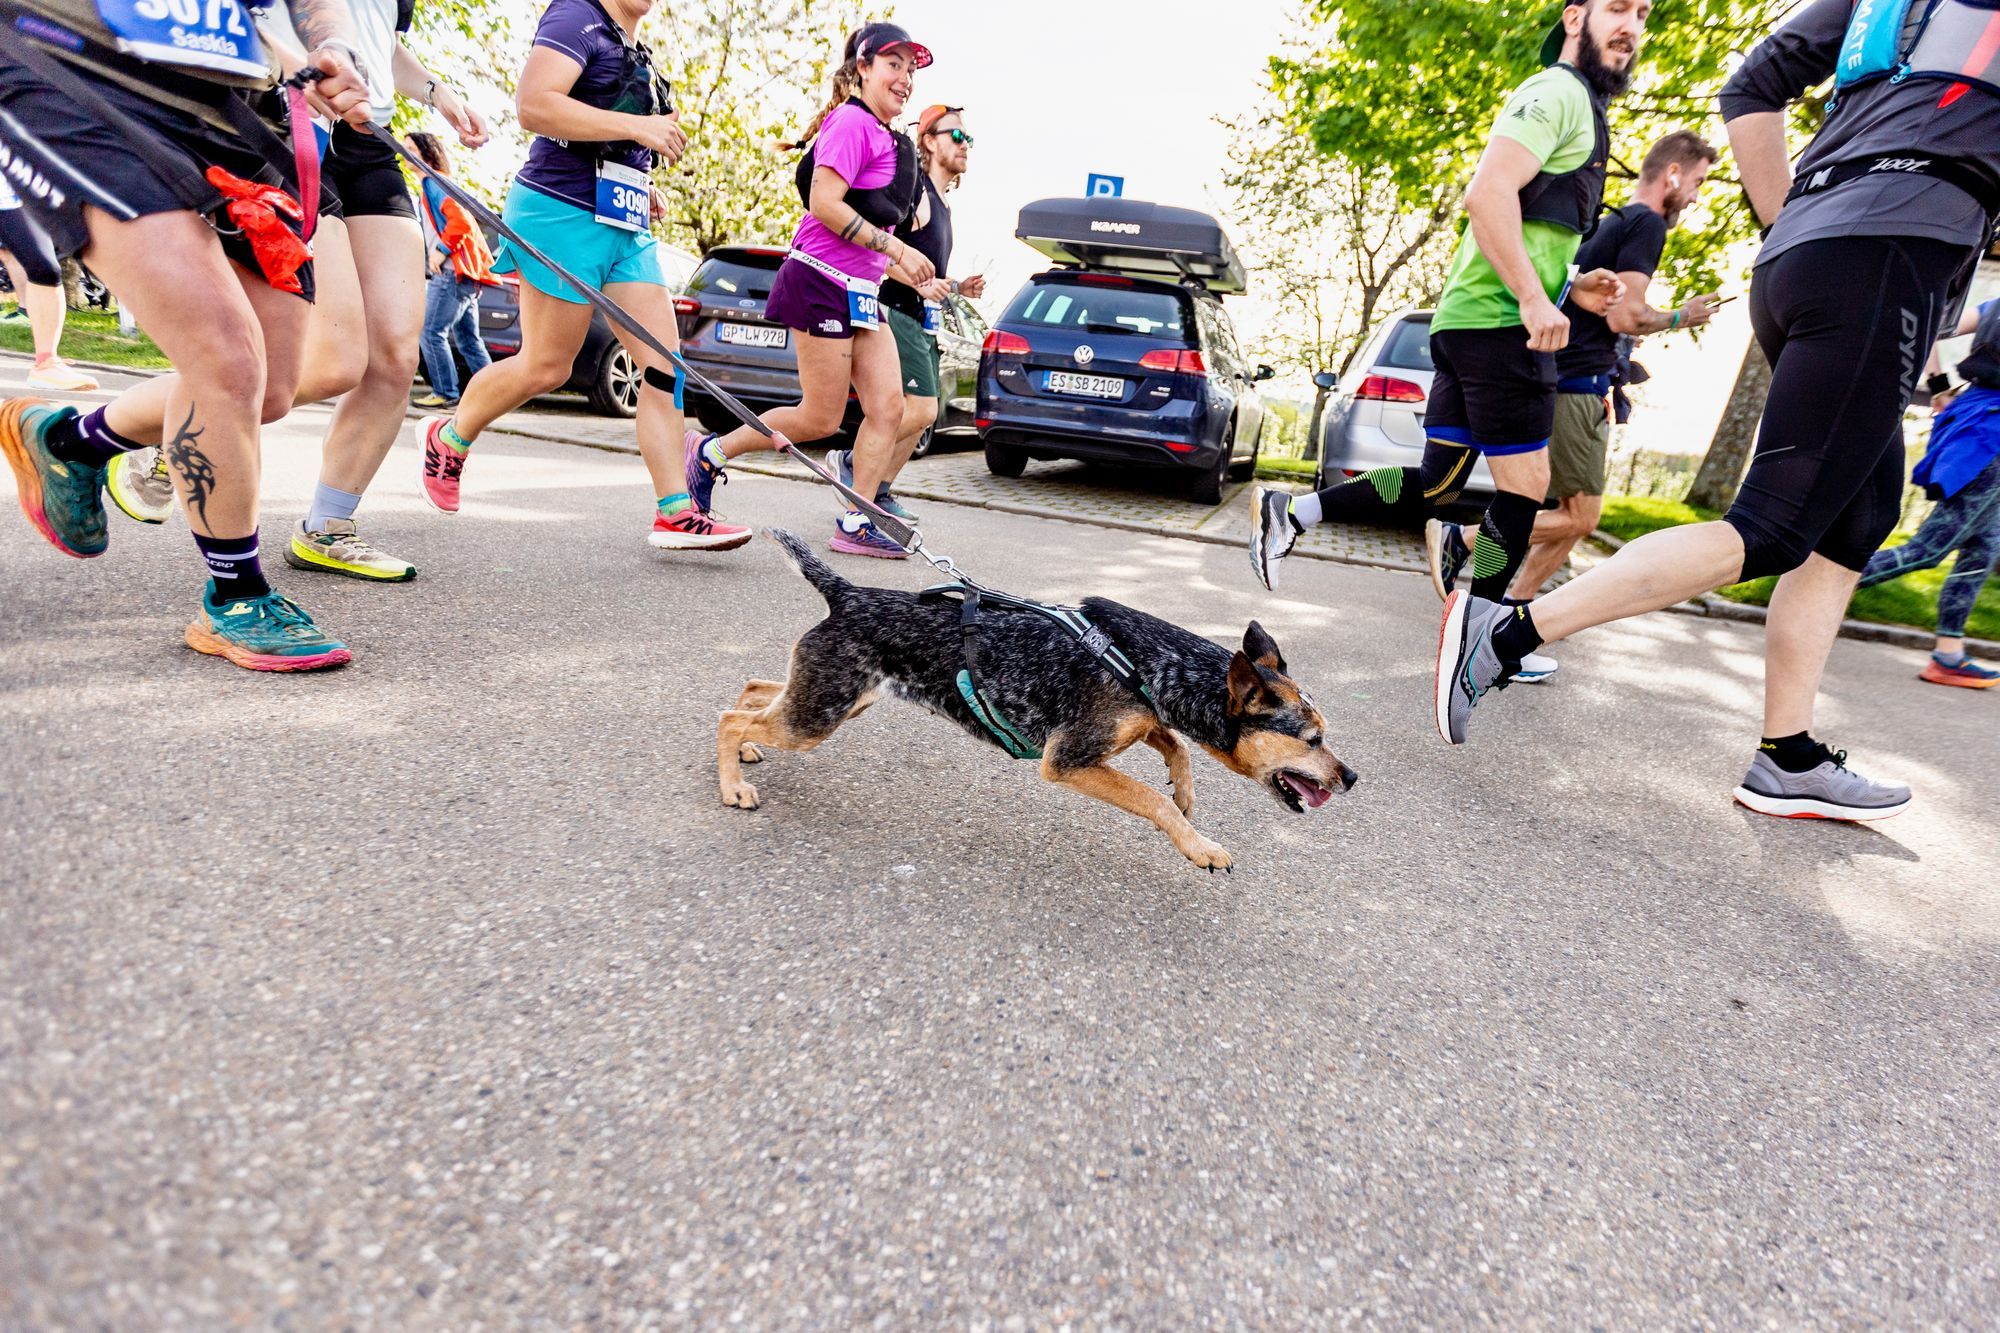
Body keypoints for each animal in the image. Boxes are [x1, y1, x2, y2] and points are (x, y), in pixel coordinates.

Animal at [720, 528, 1360, 872]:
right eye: (1313, 739)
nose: (1352, 777)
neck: (1149, 665)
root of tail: (848, 592)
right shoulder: (1069, 759)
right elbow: (1152, 799)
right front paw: (1197, 844)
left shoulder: (1132, 723)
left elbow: (1173, 747)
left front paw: (1186, 792)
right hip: (819, 714)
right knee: (731, 718)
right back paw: (733, 784)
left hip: (837, 699)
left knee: (752, 691)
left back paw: (746, 756)